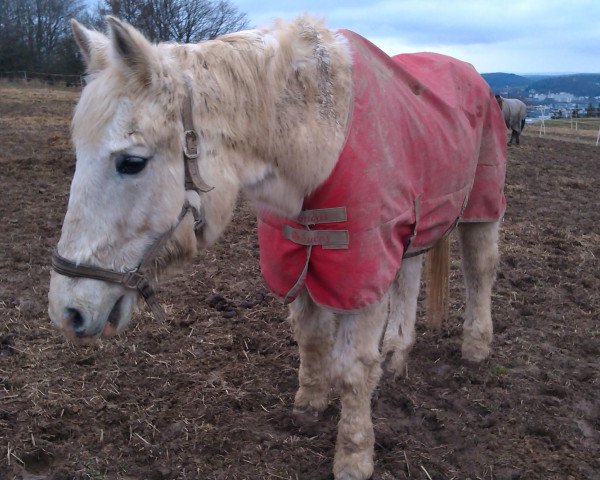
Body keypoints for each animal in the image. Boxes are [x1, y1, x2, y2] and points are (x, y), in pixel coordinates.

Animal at [49, 15, 506, 480]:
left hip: (482, 204)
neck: (318, 139)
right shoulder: (302, 256)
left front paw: (354, 455)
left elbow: (355, 368)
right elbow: (312, 336)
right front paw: (310, 405)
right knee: (409, 278)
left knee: (480, 267)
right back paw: (397, 352)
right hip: (415, 223)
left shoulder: (363, 268)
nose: (67, 311)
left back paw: (475, 346)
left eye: (132, 162)